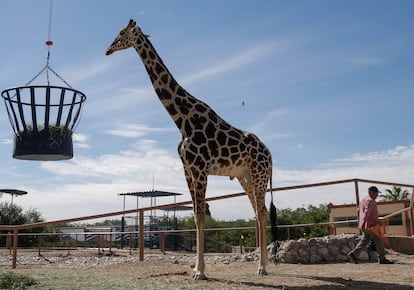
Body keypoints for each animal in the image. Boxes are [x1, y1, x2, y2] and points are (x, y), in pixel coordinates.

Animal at [106, 19, 274, 278]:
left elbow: (201, 216)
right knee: (258, 210)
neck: (182, 120)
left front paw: (200, 271)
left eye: (122, 33)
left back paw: (263, 268)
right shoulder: (187, 169)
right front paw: (197, 269)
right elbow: (196, 216)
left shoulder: (200, 168)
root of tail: (270, 154)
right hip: (244, 176)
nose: (108, 49)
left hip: (259, 173)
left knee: (262, 211)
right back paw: (261, 265)